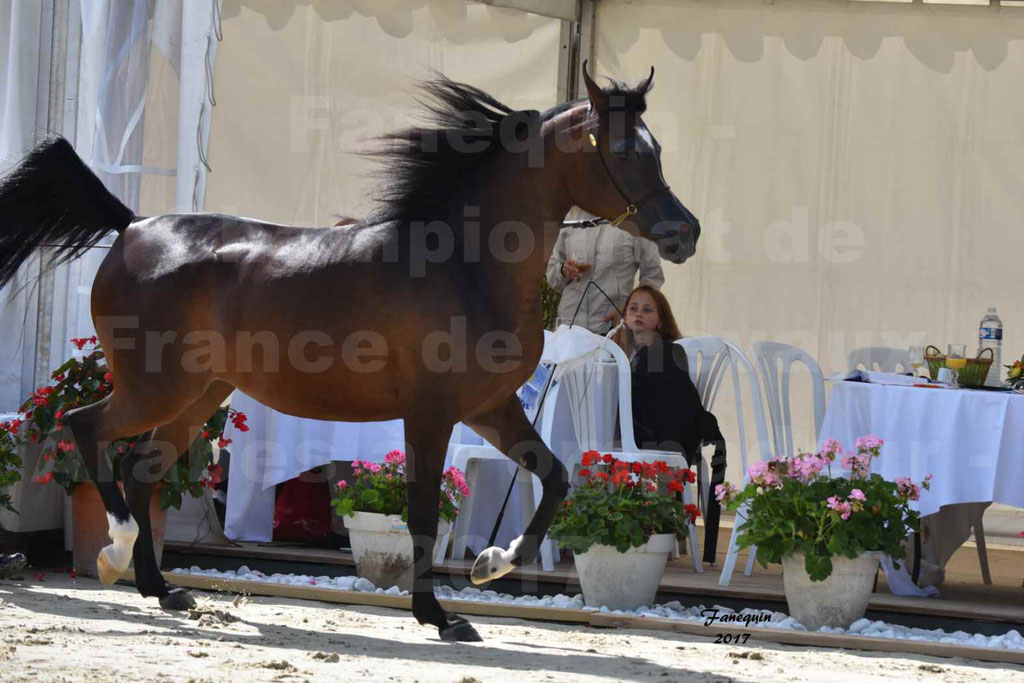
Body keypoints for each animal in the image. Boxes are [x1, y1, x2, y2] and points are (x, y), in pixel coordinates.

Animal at [0, 61, 700, 643]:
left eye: (660, 149)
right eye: (626, 150)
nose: (685, 233)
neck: (465, 263)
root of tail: (133, 226)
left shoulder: (489, 407)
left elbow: (554, 476)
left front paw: (489, 565)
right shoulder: (431, 413)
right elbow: (422, 512)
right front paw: (440, 616)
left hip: (198, 395)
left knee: (140, 469)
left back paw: (160, 589)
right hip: (154, 387)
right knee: (85, 427)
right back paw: (115, 553)